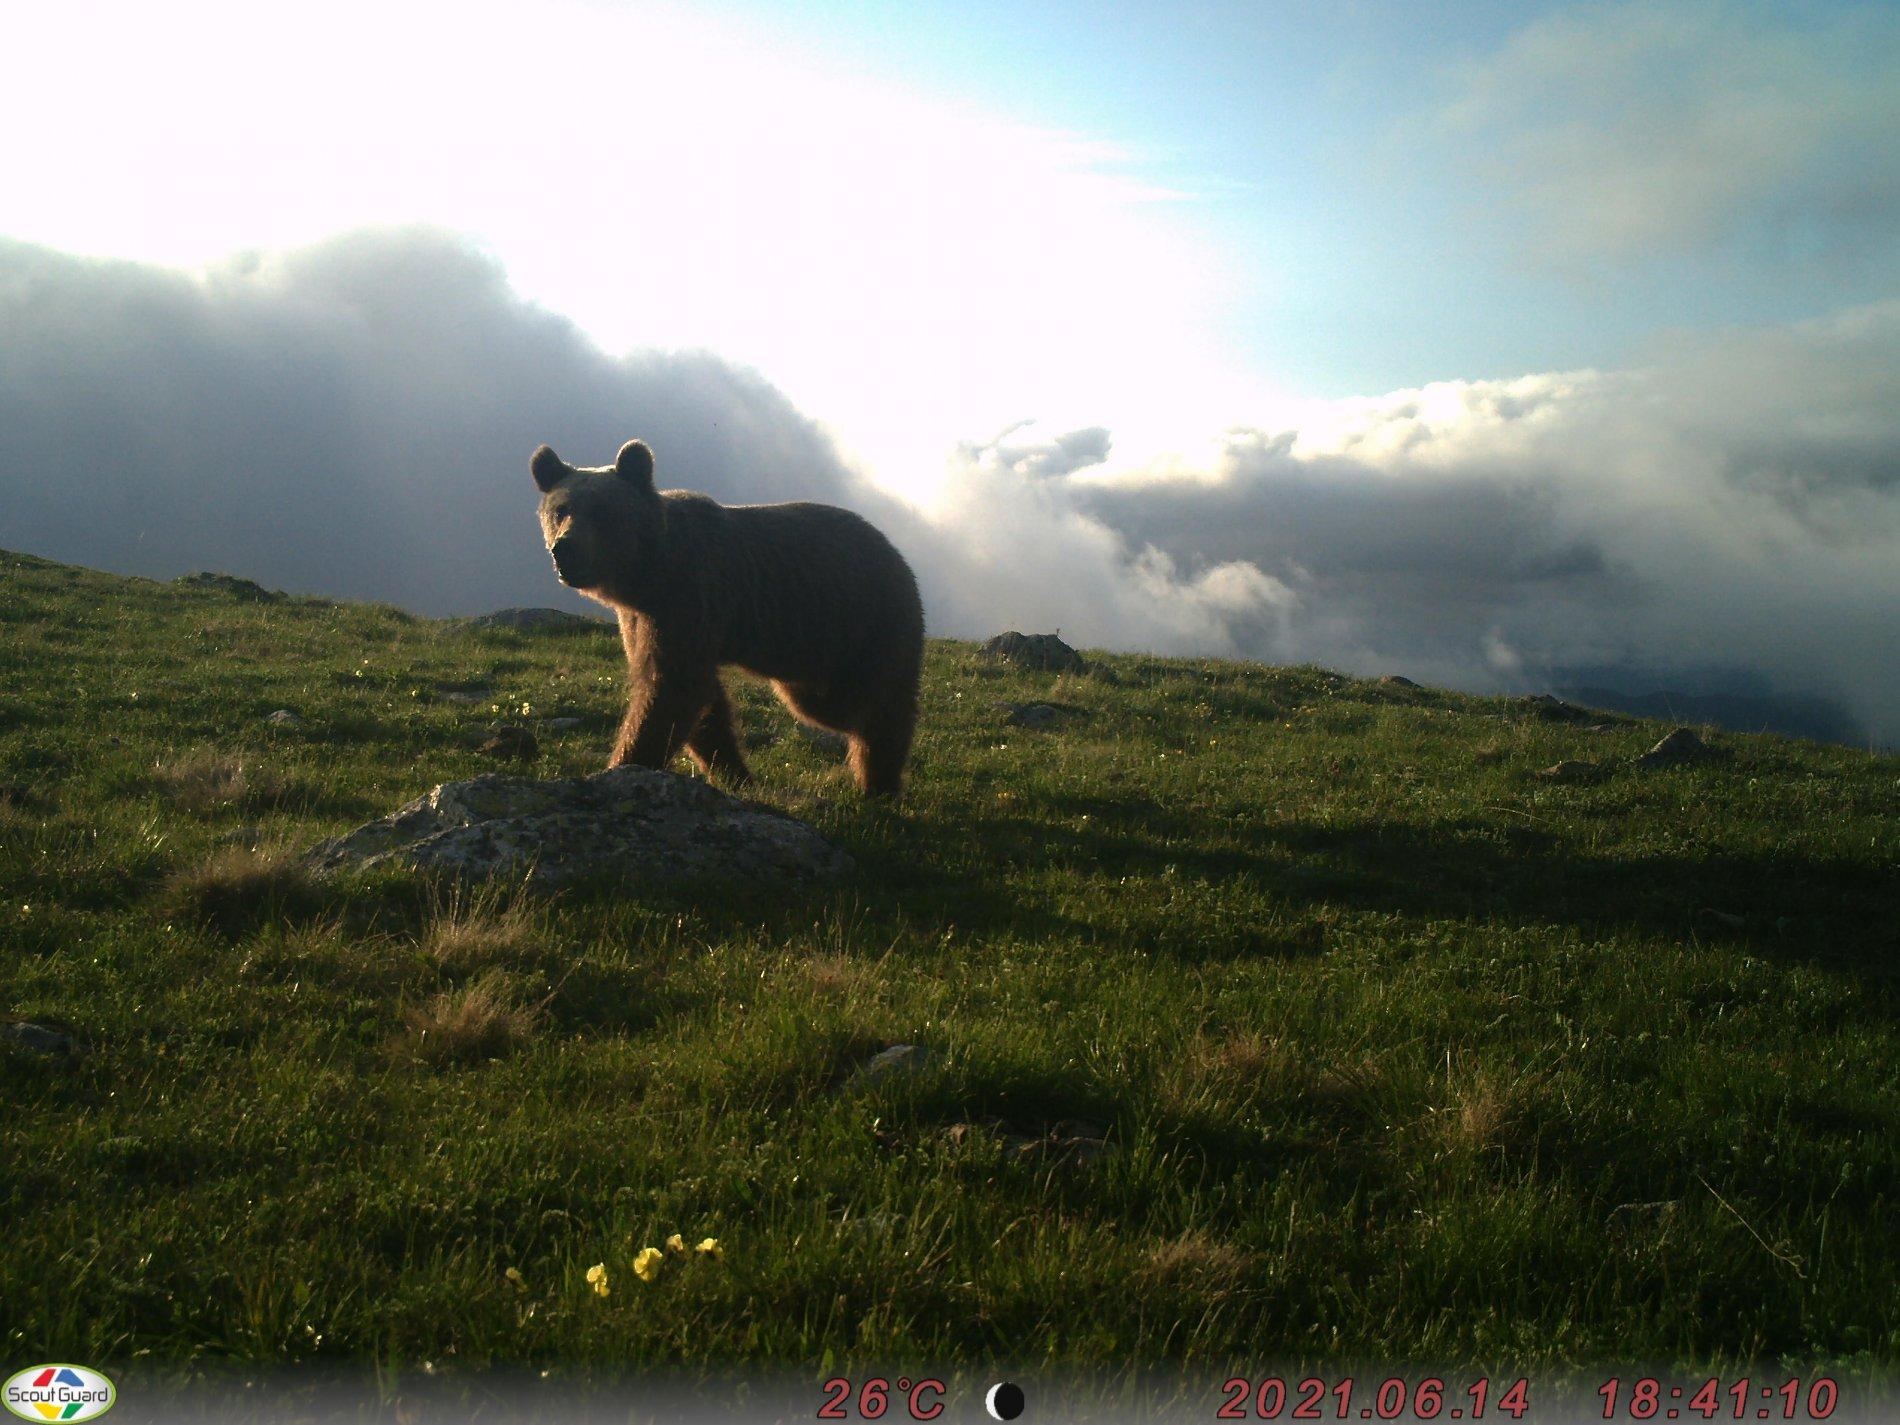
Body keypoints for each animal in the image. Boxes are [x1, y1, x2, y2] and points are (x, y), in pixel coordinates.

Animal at [530, 439, 925, 797]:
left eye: (601, 511)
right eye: (560, 510)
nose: (564, 549)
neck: (648, 572)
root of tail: (895, 551)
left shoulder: (689, 594)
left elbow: (672, 686)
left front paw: (625, 763)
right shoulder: (640, 618)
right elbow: (706, 708)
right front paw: (735, 773)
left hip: (871, 619)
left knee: (881, 703)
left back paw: (880, 782)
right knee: (827, 704)